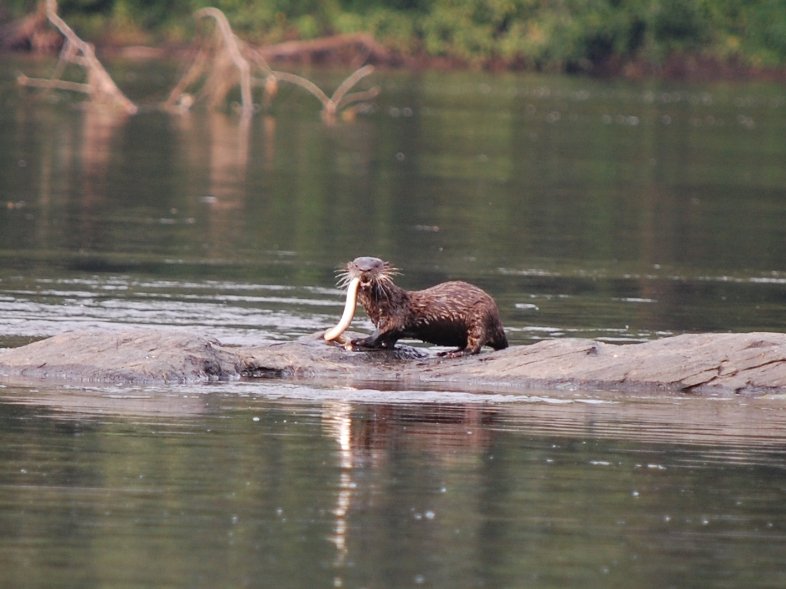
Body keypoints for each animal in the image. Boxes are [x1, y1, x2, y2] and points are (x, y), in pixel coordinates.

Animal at [324, 256, 508, 356]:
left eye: (375, 266)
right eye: (357, 265)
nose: (365, 270)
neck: (379, 306)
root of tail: (497, 320)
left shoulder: (394, 315)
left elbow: (383, 332)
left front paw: (360, 340)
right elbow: (387, 340)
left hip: (480, 317)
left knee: (475, 345)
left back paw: (453, 353)